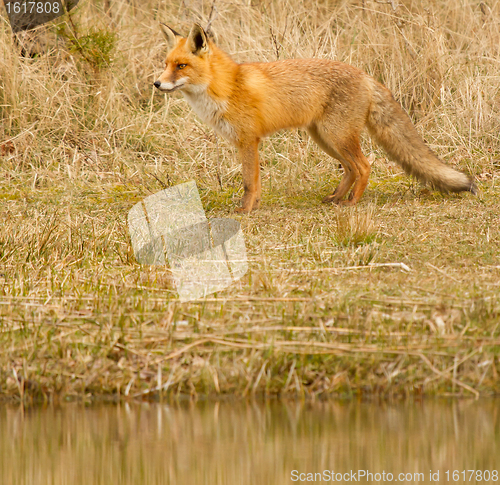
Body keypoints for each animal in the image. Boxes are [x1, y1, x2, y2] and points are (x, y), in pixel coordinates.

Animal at [153, 23, 476, 212]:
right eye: (166, 64)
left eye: (181, 66)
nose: (156, 84)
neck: (228, 86)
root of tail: (365, 75)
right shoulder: (249, 142)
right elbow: (255, 181)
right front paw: (253, 208)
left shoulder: (248, 141)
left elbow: (249, 182)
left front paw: (245, 211)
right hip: (324, 138)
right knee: (351, 169)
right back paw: (335, 198)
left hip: (336, 136)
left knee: (364, 166)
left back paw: (352, 203)